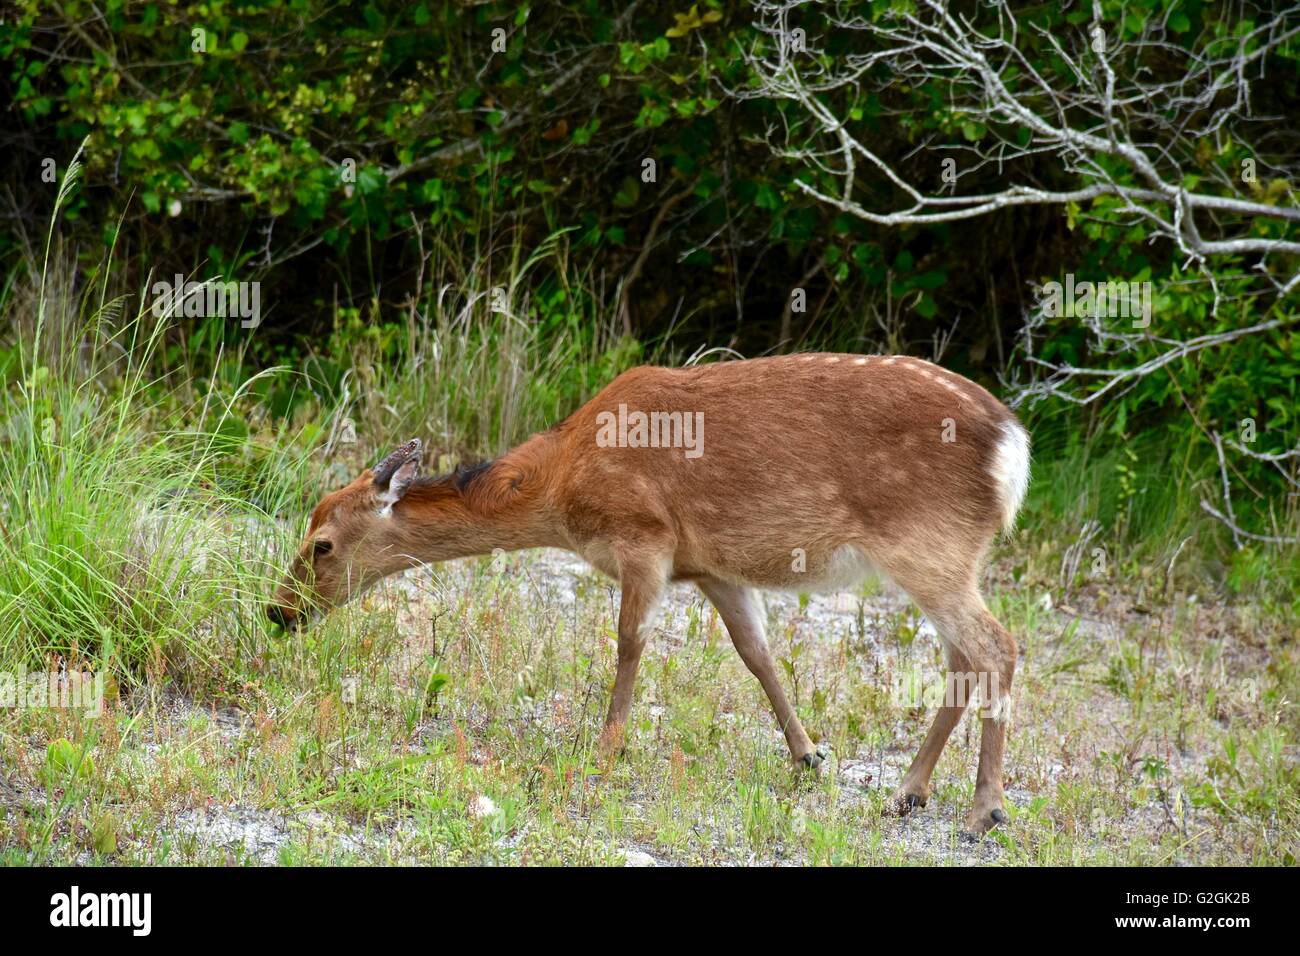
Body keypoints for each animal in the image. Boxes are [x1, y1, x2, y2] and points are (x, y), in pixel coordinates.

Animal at [269, 353, 1029, 837]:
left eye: (322, 544)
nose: (278, 612)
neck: (562, 486)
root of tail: (1014, 449)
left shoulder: (644, 539)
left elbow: (629, 644)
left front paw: (604, 752)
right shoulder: (711, 565)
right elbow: (757, 654)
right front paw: (808, 756)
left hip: (928, 544)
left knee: (997, 645)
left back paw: (982, 812)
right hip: (946, 555)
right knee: (964, 658)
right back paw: (907, 794)